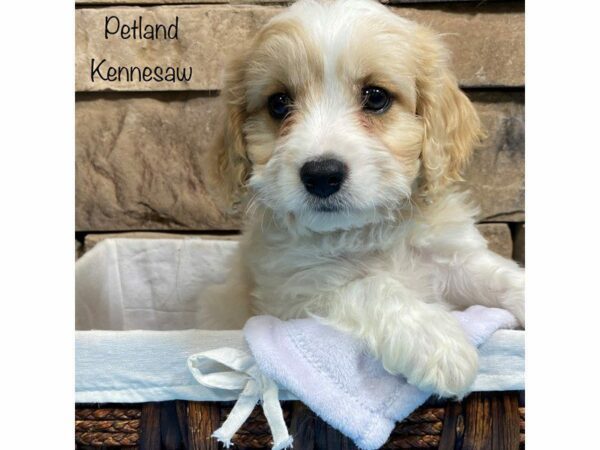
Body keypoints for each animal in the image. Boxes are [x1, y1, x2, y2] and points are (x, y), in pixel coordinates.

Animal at [199, 0, 524, 400]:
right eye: (278, 103)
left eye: (376, 97)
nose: (321, 174)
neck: (367, 230)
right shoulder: (294, 295)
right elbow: (371, 287)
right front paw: (438, 342)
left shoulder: (453, 260)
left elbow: (500, 276)